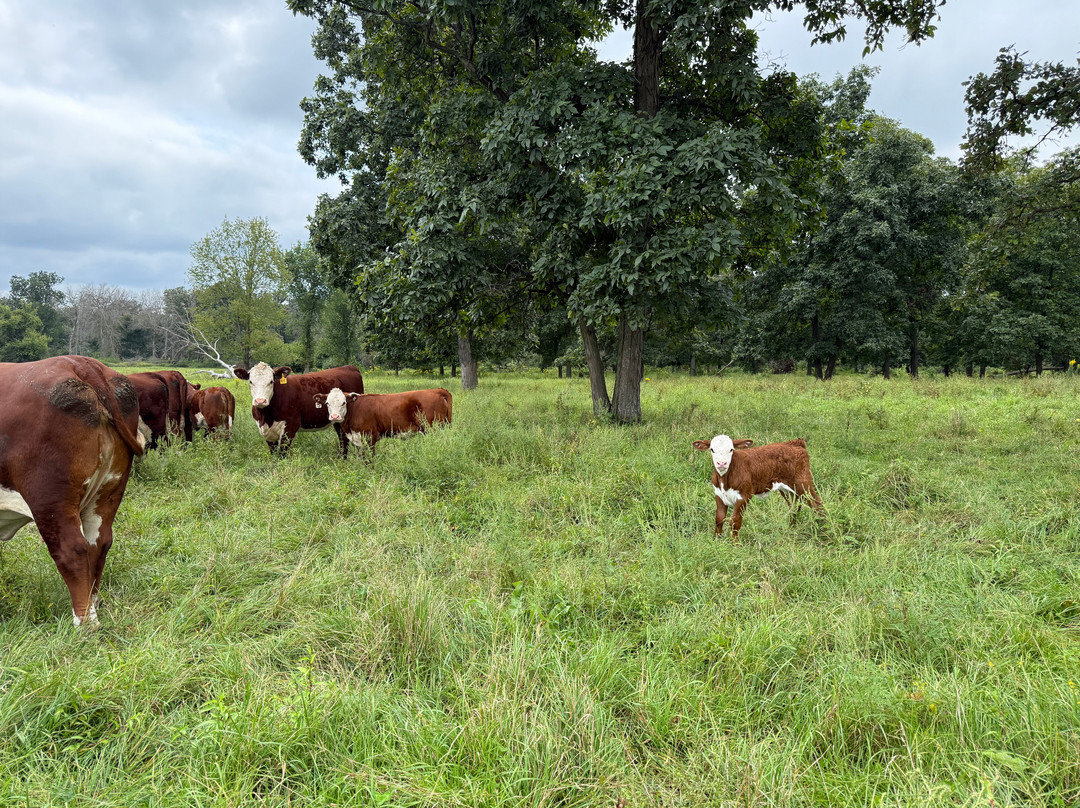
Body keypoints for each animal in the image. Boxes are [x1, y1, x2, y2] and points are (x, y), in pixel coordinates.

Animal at [0, 355, 146, 626]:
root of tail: (79, 362)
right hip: (108, 492)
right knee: (99, 543)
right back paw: (94, 605)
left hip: (49, 499)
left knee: (71, 549)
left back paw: (85, 622)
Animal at [233, 363, 365, 457]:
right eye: (251, 381)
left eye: (271, 381)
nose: (260, 401)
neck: (266, 417)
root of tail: (349, 367)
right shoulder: (266, 431)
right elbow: (274, 454)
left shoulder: (290, 427)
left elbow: (282, 454)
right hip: (337, 420)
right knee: (343, 440)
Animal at [311, 387, 452, 457]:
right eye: (327, 403)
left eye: (343, 402)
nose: (334, 416)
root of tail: (438, 390)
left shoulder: (370, 437)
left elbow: (370, 459)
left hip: (433, 429)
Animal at [692, 435, 823, 540]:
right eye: (712, 449)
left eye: (731, 449)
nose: (722, 464)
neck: (725, 479)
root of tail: (794, 443)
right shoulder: (718, 494)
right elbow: (719, 519)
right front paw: (716, 540)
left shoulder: (744, 495)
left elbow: (735, 521)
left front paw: (734, 543)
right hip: (787, 489)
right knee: (794, 506)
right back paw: (791, 529)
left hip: (803, 484)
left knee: (817, 503)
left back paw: (822, 529)